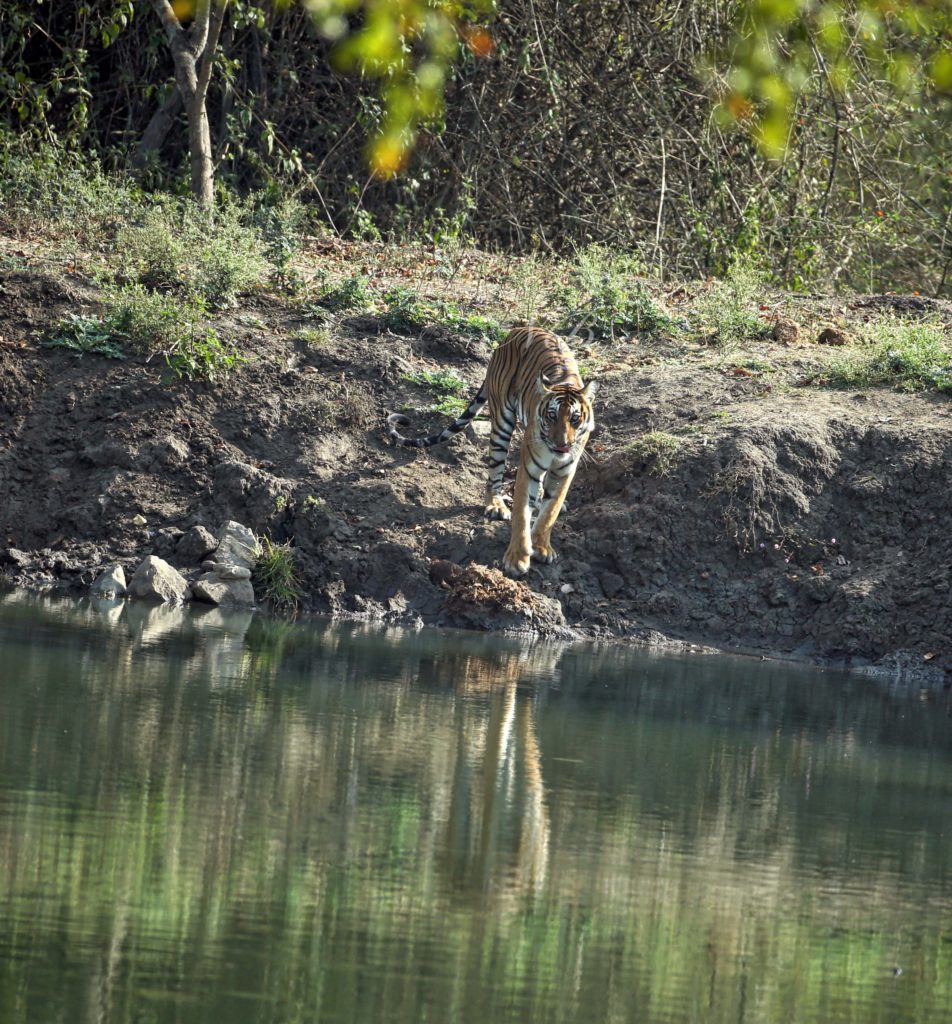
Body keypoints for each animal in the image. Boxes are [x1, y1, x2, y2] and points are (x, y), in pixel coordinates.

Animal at [384, 325, 593, 577]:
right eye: (552, 416)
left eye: (574, 418)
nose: (561, 443)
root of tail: (517, 329)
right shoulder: (528, 467)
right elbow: (521, 513)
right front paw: (517, 559)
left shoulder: (564, 472)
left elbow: (549, 513)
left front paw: (542, 547)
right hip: (502, 422)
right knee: (495, 471)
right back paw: (495, 505)